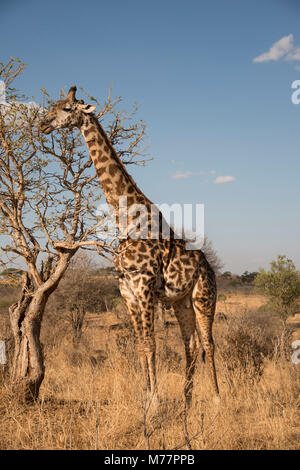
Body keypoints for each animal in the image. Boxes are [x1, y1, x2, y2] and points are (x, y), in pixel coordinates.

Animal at [39, 85, 219, 408]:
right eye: (54, 106)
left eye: (67, 109)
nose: (43, 124)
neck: (127, 220)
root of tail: (211, 268)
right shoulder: (127, 291)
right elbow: (139, 346)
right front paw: (146, 398)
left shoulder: (144, 287)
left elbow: (150, 345)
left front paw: (155, 404)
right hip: (180, 301)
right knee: (190, 343)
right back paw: (186, 400)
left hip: (204, 296)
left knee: (209, 343)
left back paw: (216, 399)